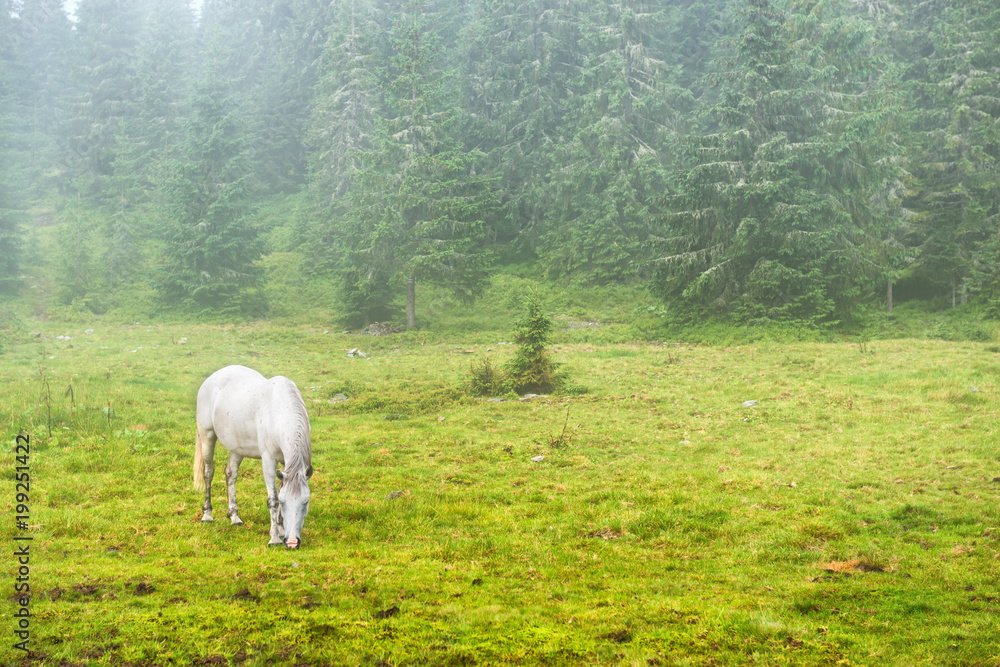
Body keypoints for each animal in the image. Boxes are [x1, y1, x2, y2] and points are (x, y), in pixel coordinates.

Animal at [193, 365, 313, 549]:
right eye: (284, 502)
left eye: (305, 502)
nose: (292, 542)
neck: (279, 411)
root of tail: (212, 378)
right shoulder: (268, 460)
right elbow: (273, 499)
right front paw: (274, 538)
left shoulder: (284, 463)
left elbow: (280, 490)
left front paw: (280, 529)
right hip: (207, 436)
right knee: (208, 473)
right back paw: (207, 514)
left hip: (237, 447)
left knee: (230, 474)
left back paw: (234, 516)